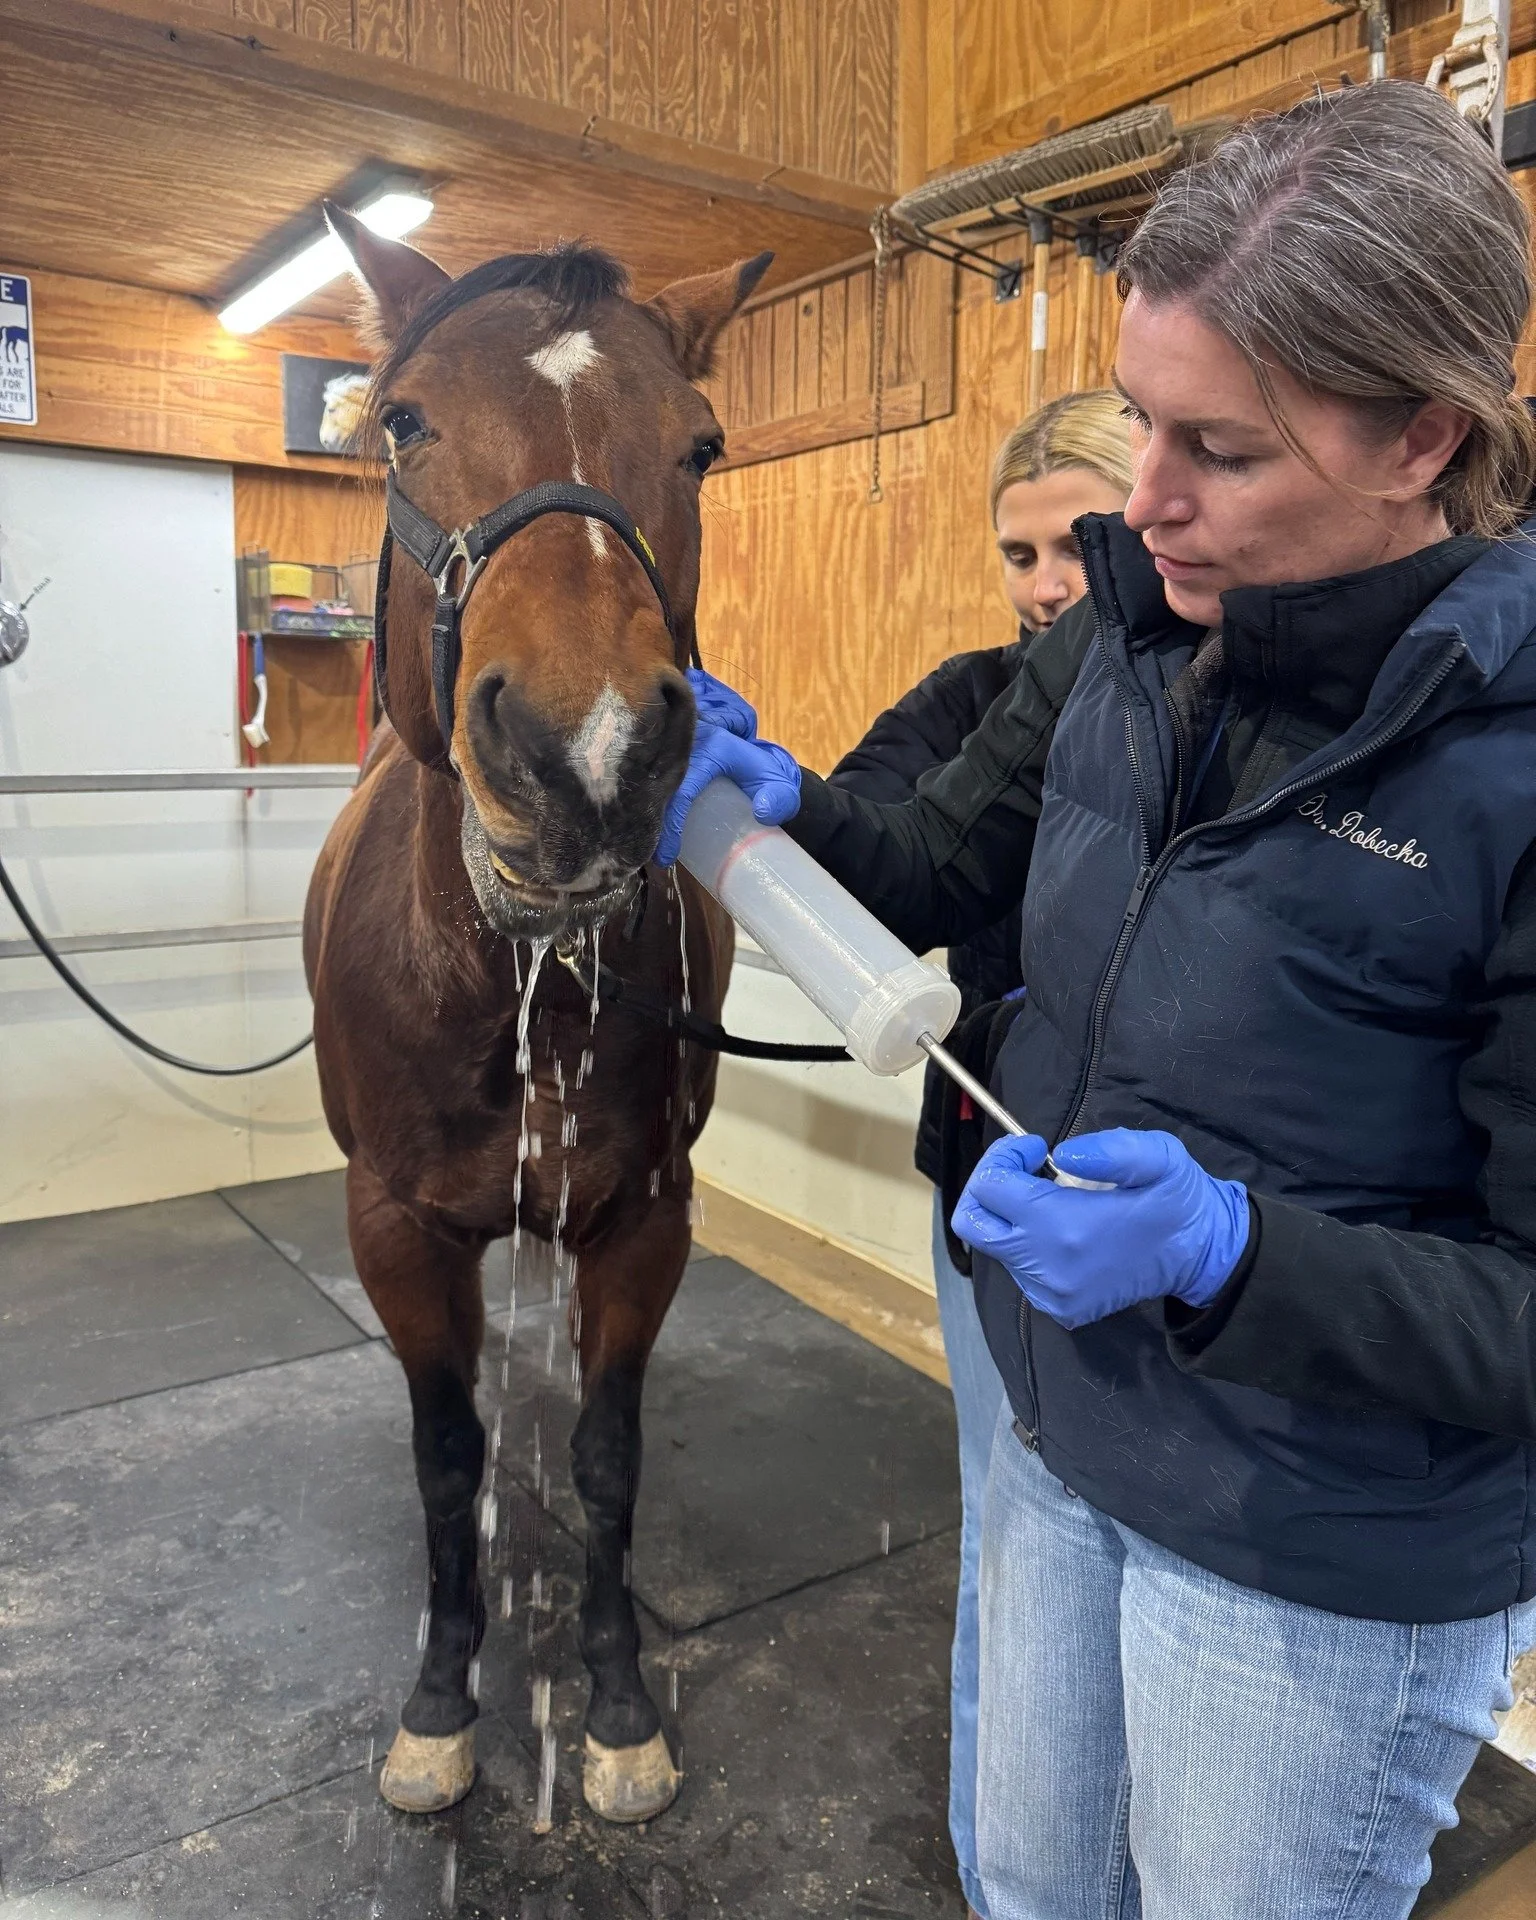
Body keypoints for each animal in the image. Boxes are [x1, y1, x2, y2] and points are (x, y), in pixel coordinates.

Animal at [303, 209, 770, 1827]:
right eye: (402, 421)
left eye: (700, 446)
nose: (589, 753)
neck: (517, 979)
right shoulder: (392, 1226)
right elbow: (449, 1458)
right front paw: (441, 1705)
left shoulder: (644, 1216)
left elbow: (609, 1455)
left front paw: (620, 1711)